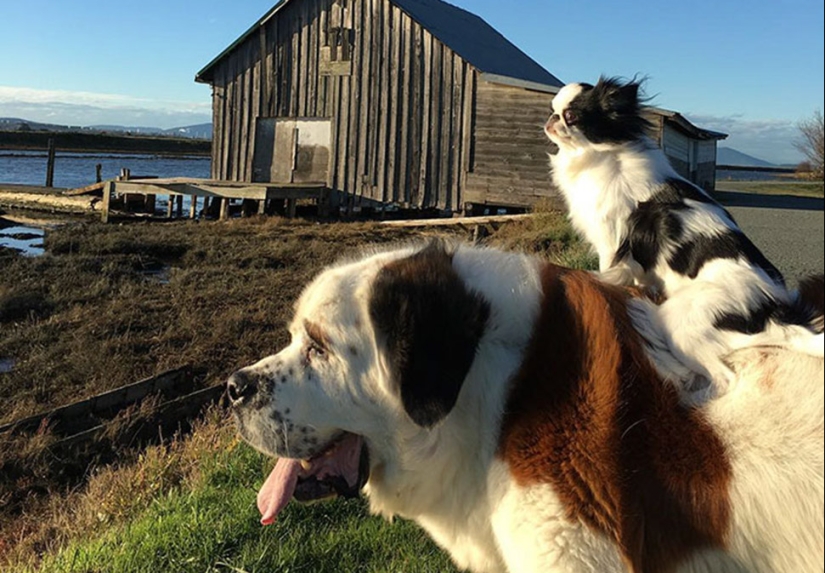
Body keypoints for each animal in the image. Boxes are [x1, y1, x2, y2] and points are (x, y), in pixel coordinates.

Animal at [544, 76, 820, 386]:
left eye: (571, 116)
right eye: (553, 110)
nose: (551, 118)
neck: (601, 156)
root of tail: (772, 312)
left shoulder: (611, 241)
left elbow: (612, 271)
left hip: (682, 319)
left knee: (724, 377)